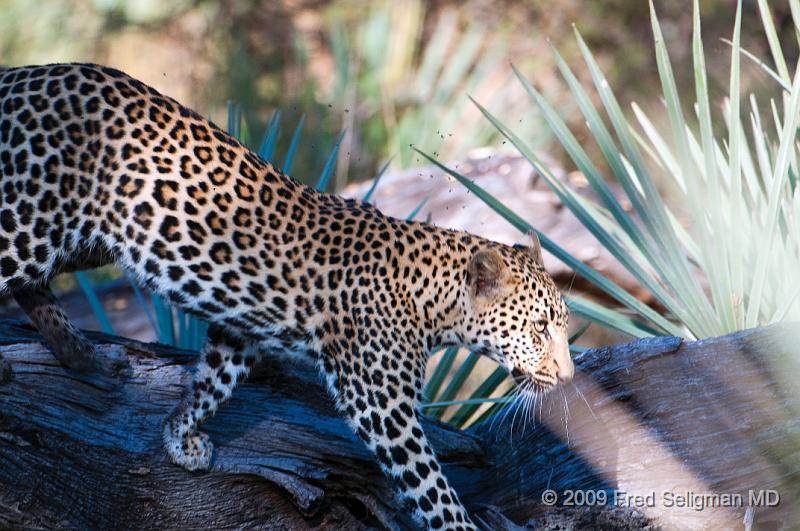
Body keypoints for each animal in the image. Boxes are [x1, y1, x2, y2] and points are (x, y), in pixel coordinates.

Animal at [0, 63, 576, 531]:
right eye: (539, 328)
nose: (569, 378)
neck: (433, 300)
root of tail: (20, 75)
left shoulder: (238, 331)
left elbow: (213, 381)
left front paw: (180, 437)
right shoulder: (381, 403)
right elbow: (431, 486)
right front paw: (458, 524)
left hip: (83, 240)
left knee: (36, 286)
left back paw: (83, 357)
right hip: (29, 223)